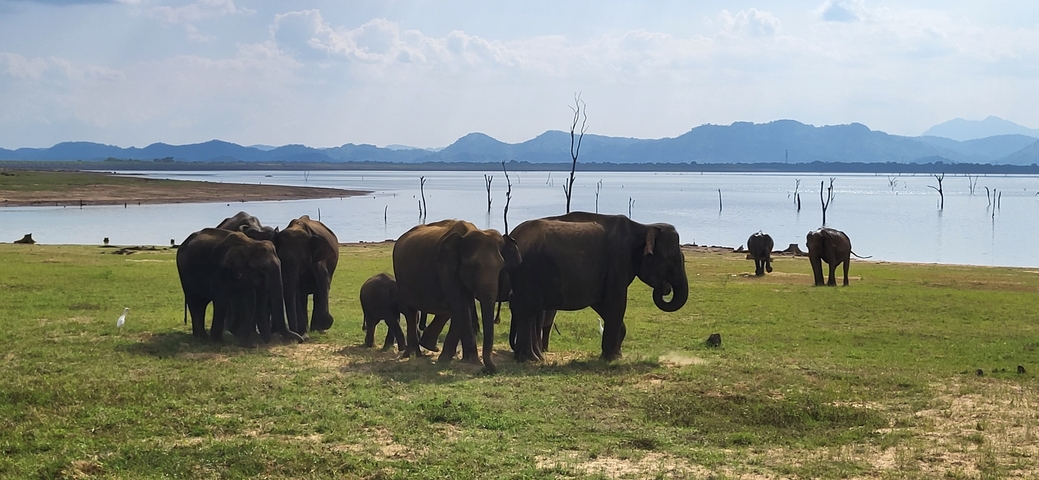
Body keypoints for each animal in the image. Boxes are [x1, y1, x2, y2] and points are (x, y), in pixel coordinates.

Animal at [392, 219, 521, 373]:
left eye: (501, 267)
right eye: (473, 267)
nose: (489, 370)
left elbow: (464, 304)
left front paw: (459, 359)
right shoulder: (447, 268)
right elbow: (460, 304)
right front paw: (468, 360)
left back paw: (427, 348)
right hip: (401, 277)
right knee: (411, 311)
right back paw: (413, 354)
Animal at [508, 212, 689, 362]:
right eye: (672, 260)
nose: (665, 288)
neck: (644, 226)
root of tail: (512, 236)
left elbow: (602, 304)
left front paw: (616, 354)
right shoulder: (618, 262)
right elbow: (617, 303)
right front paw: (612, 358)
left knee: (526, 311)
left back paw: (529, 357)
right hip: (528, 272)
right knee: (527, 311)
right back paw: (530, 359)